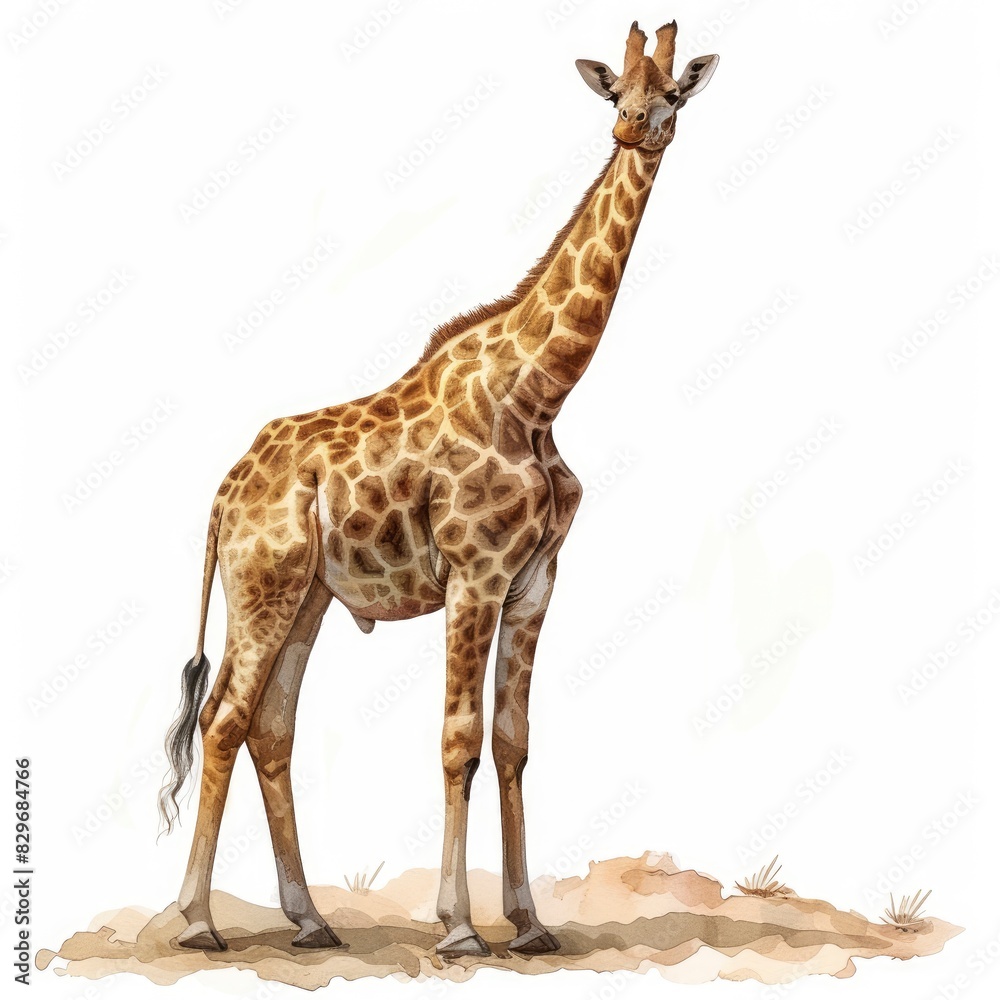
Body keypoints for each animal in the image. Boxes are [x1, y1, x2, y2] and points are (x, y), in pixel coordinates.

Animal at [158, 19, 718, 958]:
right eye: (616, 89)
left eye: (672, 92)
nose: (632, 128)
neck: (537, 395)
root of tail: (224, 494)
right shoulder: (474, 576)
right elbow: (459, 741)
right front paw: (459, 929)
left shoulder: (535, 583)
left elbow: (513, 742)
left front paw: (528, 924)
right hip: (262, 590)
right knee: (224, 720)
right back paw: (198, 921)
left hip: (305, 598)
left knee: (271, 728)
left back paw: (310, 920)